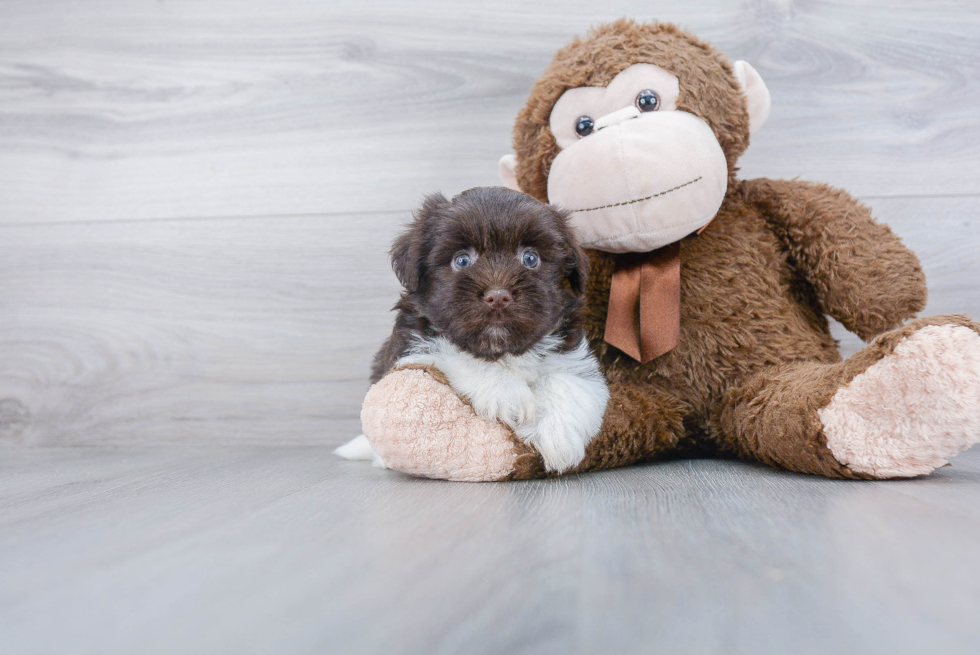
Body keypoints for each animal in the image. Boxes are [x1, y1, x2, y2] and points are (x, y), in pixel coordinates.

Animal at [340, 187, 608, 474]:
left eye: (530, 258)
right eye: (462, 260)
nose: (498, 296)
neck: (504, 350)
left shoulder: (570, 351)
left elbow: (565, 379)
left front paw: (556, 432)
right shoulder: (411, 347)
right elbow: (459, 355)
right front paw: (508, 393)